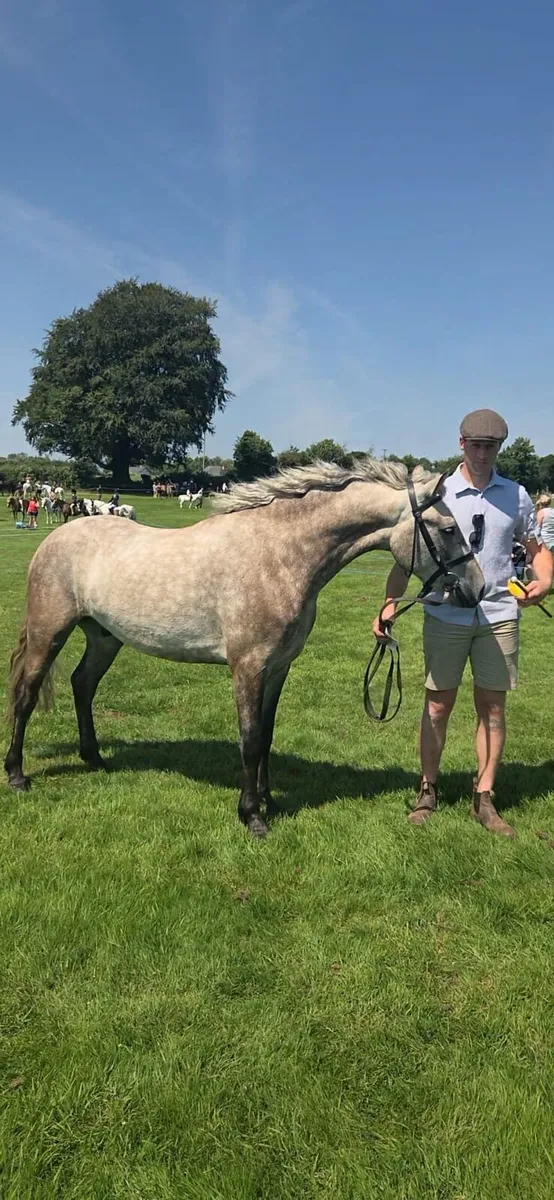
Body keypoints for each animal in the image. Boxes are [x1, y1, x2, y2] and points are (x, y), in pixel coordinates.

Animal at [4, 459, 484, 838]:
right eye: (448, 529)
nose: (476, 589)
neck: (280, 555)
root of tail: (56, 537)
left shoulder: (278, 668)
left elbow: (267, 735)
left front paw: (270, 801)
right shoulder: (248, 667)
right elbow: (251, 740)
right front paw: (252, 816)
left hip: (104, 637)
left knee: (82, 685)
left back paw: (95, 759)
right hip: (50, 631)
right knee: (27, 694)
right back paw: (17, 775)